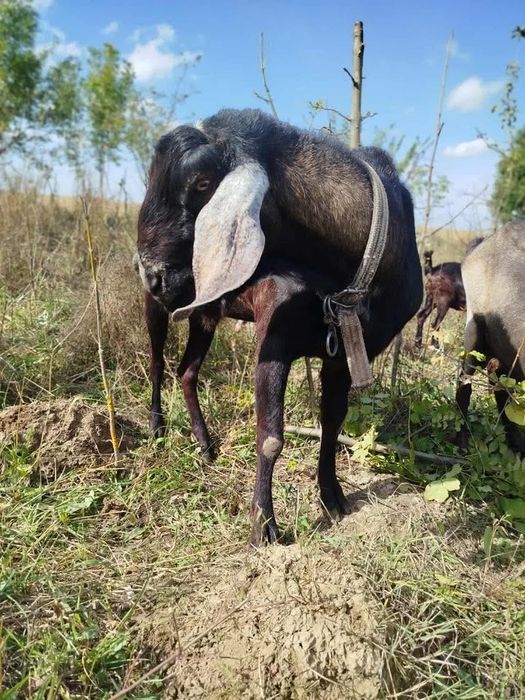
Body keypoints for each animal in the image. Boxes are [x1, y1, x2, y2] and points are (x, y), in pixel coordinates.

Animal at [136, 108, 423, 545]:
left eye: (202, 182)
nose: (151, 274)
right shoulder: (274, 336)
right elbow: (270, 437)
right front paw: (264, 527)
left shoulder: (346, 353)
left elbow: (333, 421)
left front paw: (333, 498)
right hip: (160, 310)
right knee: (156, 363)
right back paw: (156, 428)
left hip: (205, 311)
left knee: (186, 372)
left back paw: (205, 444)